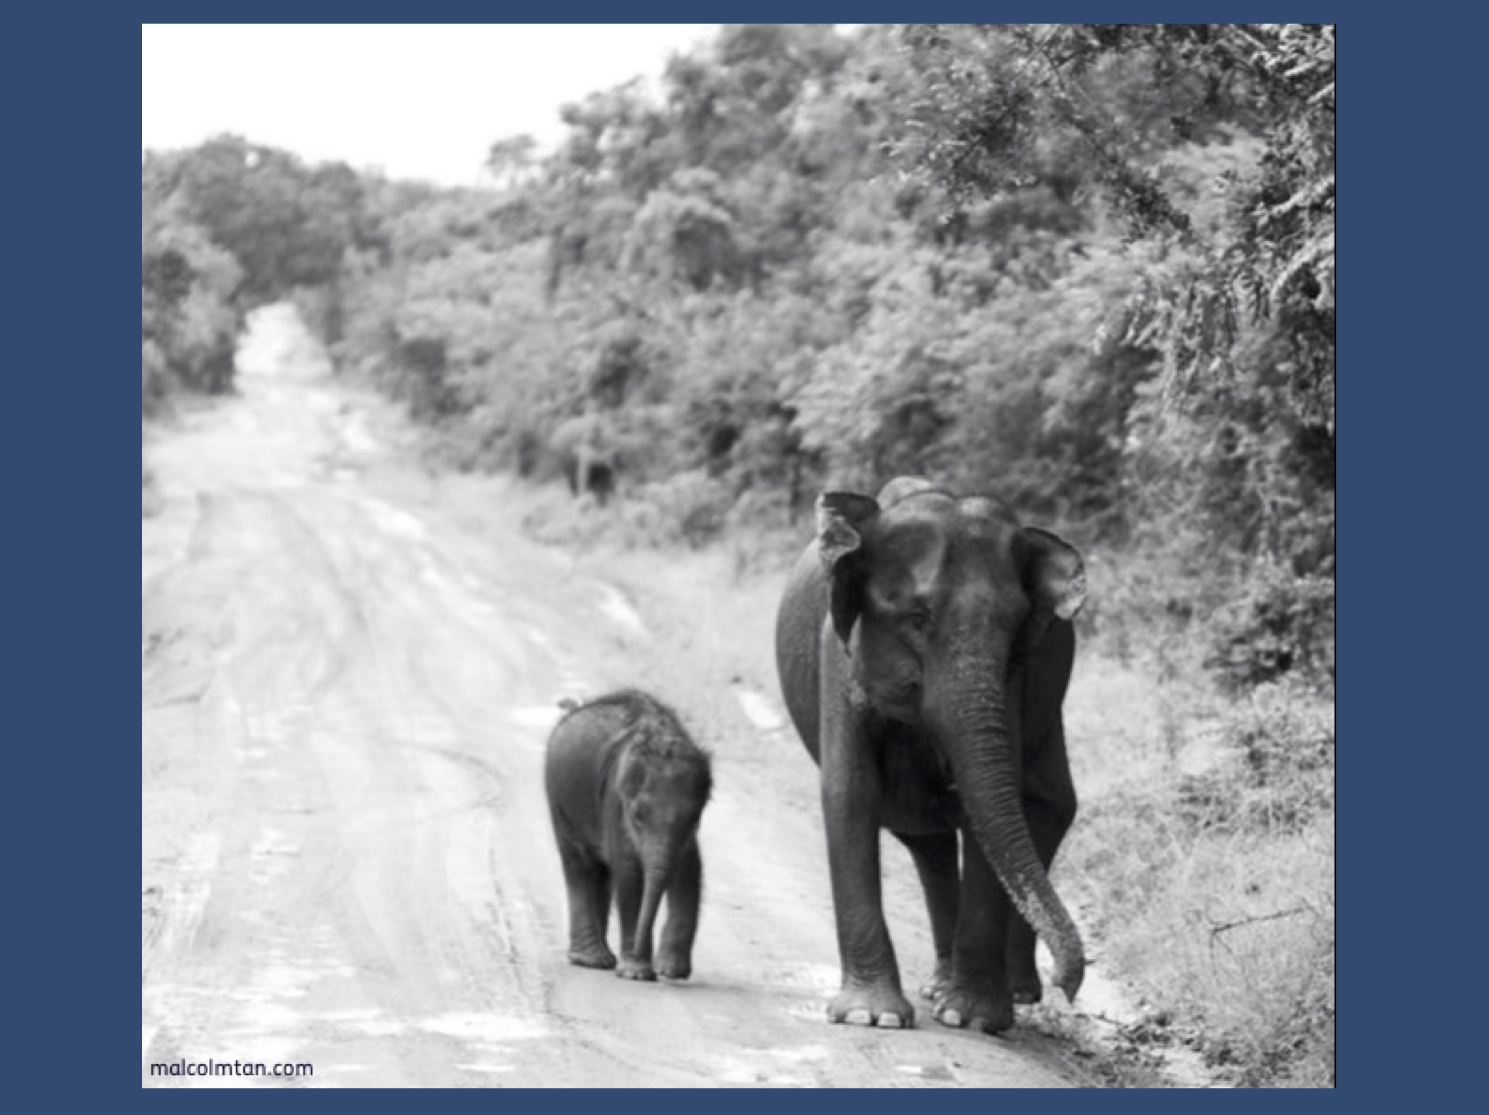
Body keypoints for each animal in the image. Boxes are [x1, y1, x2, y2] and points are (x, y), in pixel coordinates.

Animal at [544, 690, 712, 981]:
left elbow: (690, 869)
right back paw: (592, 960)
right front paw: (636, 974)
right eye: (638, 816)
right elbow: (630, 873)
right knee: (580, 865)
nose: (654, 972)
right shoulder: (615, 801)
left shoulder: (686, 835)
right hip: (559, 800)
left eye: (695, 817)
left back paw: (603, 958)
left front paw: (671, 971)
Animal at [774, 476, 1087, 1034]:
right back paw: (946, 987)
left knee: (1040, 810)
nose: (1066, 986)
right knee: (931, 841)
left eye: (1014, 626)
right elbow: (851, 792)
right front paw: (872, 1017)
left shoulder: (1018, 678)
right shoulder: (839, 652)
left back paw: (994, 992)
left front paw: (974, 1019)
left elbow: (994, 807)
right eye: (917, 619)